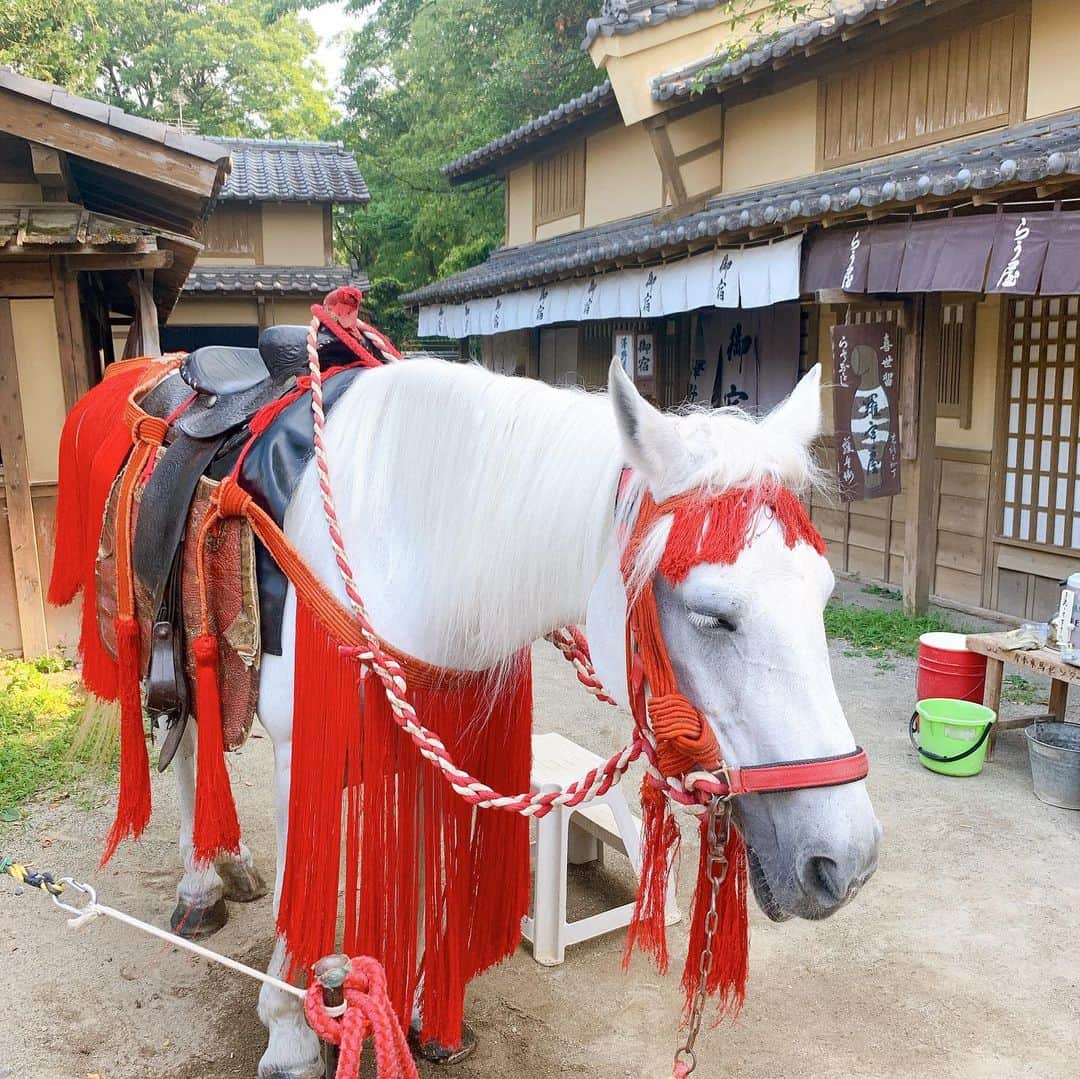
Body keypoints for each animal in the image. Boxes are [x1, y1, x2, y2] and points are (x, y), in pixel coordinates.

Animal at [166, 358, 876, 1075]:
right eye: (711, 614)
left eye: (824, 594)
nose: (849, 864)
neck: (400, 540)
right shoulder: (301, 750)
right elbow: (301, 885)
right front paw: (289, 1033)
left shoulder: (438, 735)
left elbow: (433, 873)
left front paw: (423, 1012)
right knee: (191, 742)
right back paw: (200, 888)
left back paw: (231, 867)